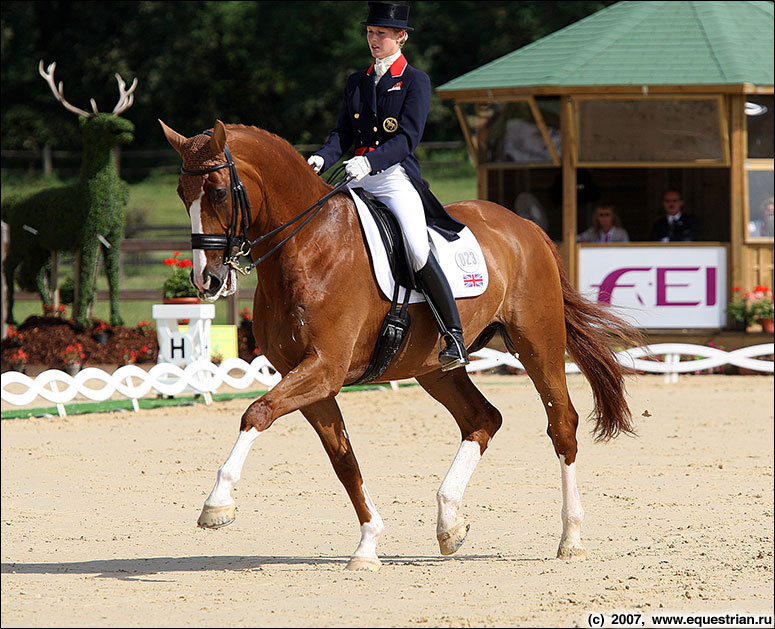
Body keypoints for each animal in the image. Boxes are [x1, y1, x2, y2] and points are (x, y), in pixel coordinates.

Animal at [161, 118, 640, 568]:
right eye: (182, 194)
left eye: (218, 192)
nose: (206, 280)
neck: (307, 246)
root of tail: (525, 226)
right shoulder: (310, 378)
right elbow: (343, 460)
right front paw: (368, 544)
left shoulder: (324, 368)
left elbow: (256, 412)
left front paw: (217, 504)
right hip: (434, 368)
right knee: (483, 418)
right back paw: (450, 522)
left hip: (537, 343)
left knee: (562, 425)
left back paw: (570, 538)